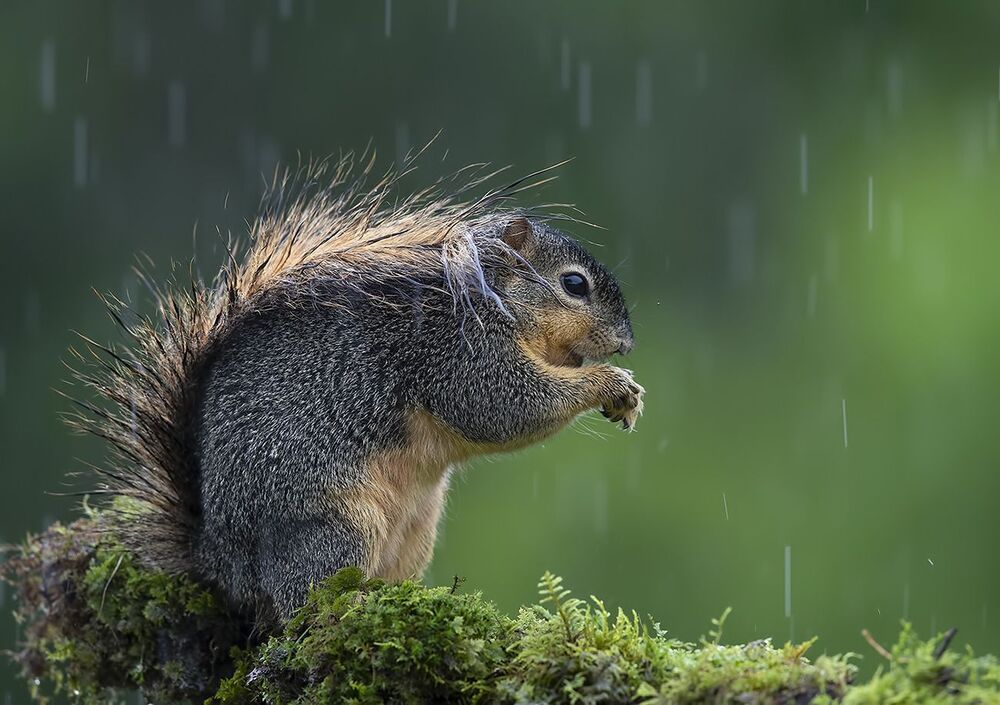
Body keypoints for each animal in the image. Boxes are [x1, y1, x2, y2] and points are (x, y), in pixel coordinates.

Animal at [70, 156, 645, 621]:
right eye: (574, 284)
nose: (625, 343)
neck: (490, 301)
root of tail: (221, 564)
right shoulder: (454, 353)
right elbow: (505, 407)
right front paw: (608, 382)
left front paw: (625, 395)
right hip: (332, 526)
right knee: (299, 608)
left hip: (415, 533)